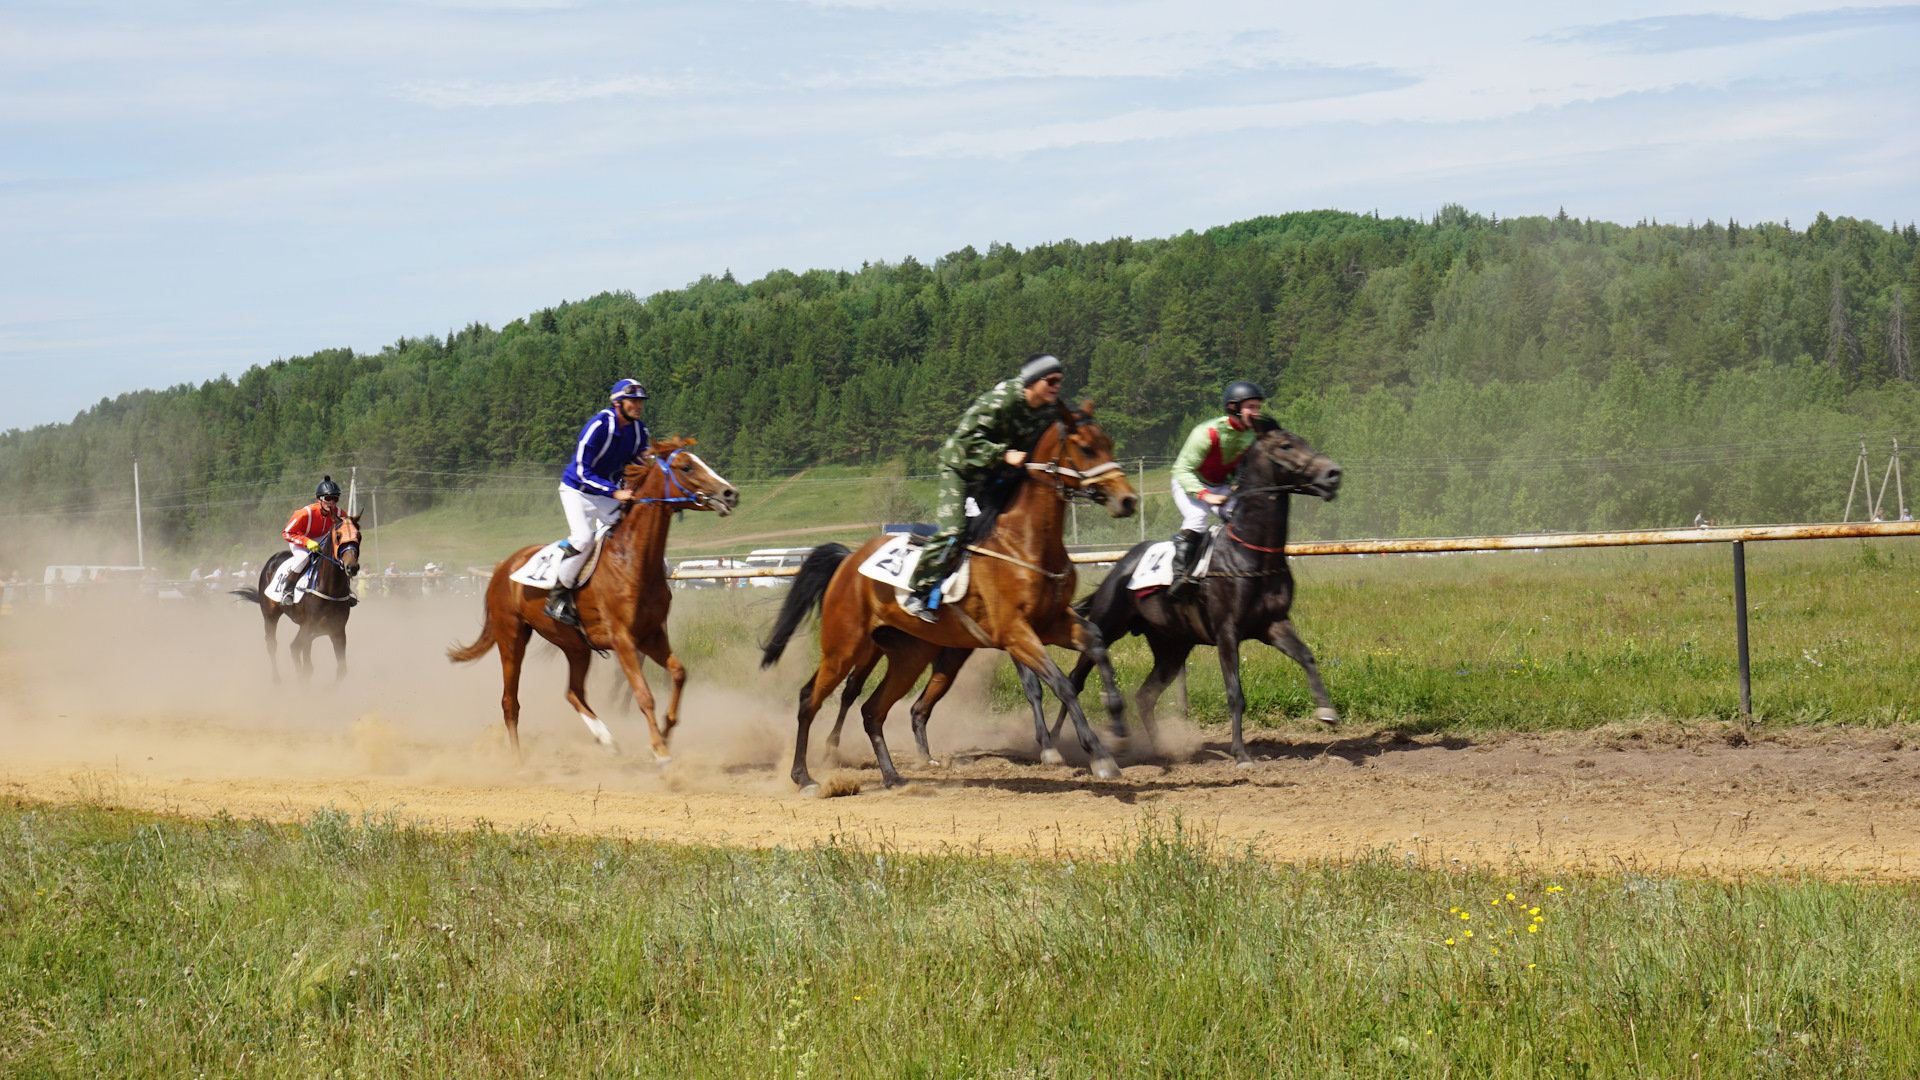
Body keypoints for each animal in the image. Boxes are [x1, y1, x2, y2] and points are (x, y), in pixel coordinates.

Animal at [230, 507, 360, 676]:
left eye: (359, 536)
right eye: (338, 536)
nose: (352, 567)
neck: (330, 590)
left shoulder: (337, 631)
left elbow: (341, 670)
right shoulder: (308, 629)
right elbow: (303, 661)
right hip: (269, 614)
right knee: (272, 644)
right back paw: (276, 678)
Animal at [449, 434, 741, 757]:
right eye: (687, 466)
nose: (730, 493)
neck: (632, 561)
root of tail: (503, 567)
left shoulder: (650, 636)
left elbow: (678, 673)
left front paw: (662, 738)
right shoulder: (623, 639)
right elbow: (644, 695)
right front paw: (660, 752)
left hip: (575, 646)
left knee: (573, 692)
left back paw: (606, 739)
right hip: (511, 637)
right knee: (510, 702)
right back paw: (518, 759)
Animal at [752, 399, 1136, 787]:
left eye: (1108, 442)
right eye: (1085, 448)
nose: (1128, 500)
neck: (1026, 542)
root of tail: (849, 561)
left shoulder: (1051, 623)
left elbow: (1096, 644)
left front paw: (1118, 726)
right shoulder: (1016, 633)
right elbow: (1059, 684)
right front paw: (1096, 754)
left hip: (909, 655)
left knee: (873, 709)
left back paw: (893, 776)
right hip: (845, 646)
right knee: (813, 698)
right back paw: (804, 775)